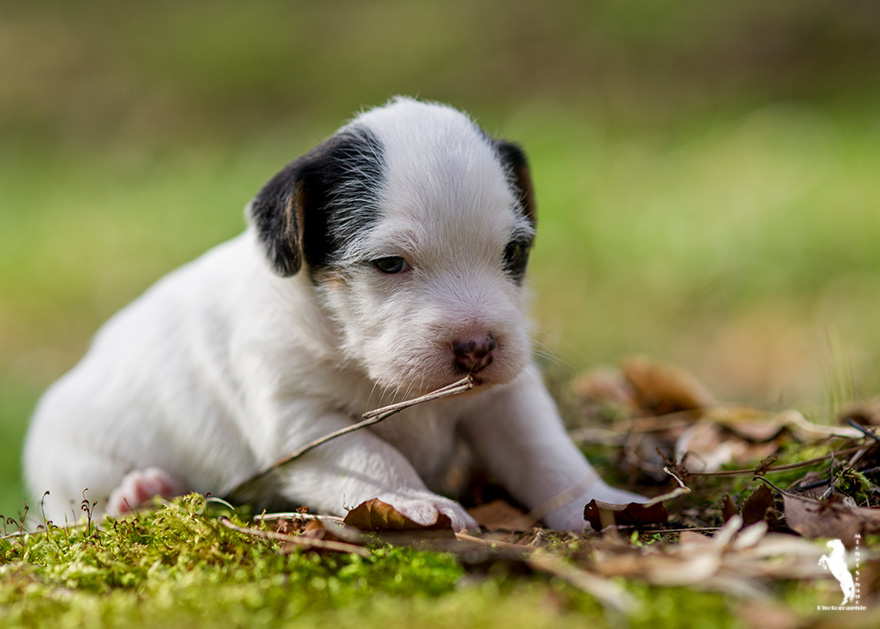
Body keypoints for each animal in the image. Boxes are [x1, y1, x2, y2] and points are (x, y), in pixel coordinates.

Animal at [22, 98, 640, 528]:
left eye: (513, 252)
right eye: (389, 263)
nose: (477, 347)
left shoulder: (505, 402)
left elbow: (546, 453)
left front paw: (600, 502)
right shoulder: (304, 422)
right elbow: (373, 457)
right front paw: (417, 502)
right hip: (74, 461)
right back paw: (140, 494)